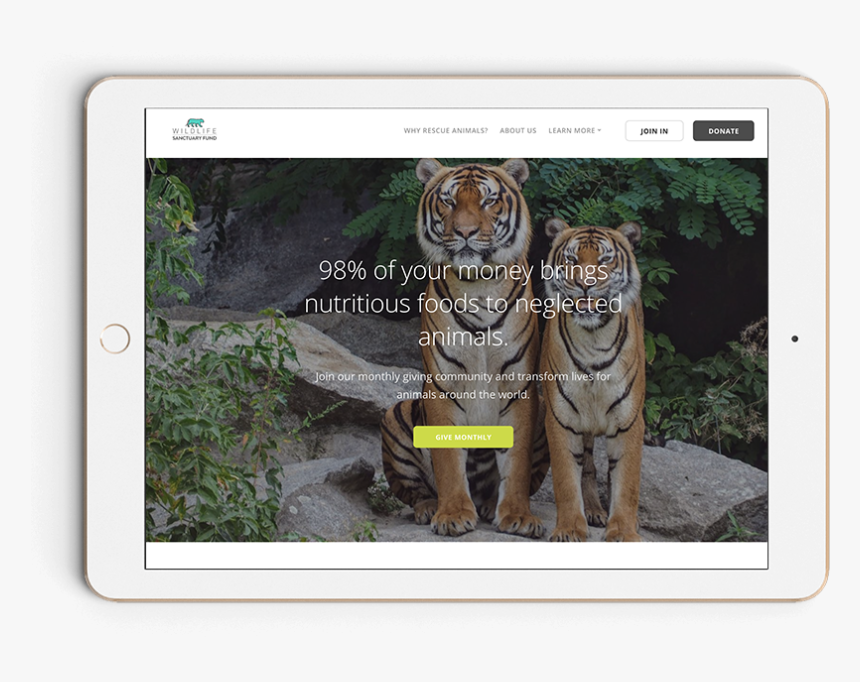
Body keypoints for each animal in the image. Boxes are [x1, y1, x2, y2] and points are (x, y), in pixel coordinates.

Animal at [381, 159, 549, 538]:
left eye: (488, 201)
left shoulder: (520, 387)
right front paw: (453, 514)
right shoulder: (442, 385)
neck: (479, 286)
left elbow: (516, 464)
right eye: (449, 201)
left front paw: (518, 516)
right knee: (414, 492)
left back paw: (489, 506)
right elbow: (447, 460)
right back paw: (429, 508)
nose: (466, 232)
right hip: (396, 414)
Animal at [540, 217, 646, 542]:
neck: (593, 338)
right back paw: (593, 511)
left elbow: (627, 483)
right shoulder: (561, 418)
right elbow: (565, 479)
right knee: (587, 466)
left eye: (604, 260)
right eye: (572, 259)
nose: (585, 284)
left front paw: (623, 531)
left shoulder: (629, 421)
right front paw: (569, 529)